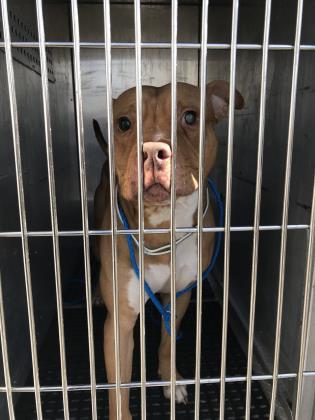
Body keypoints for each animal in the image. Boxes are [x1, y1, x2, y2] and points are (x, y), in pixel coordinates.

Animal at [93, 80, 244, 418]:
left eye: (190, 117)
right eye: (124, 123)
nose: (152, 150)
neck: (161, 230)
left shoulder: (179, 297)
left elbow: (166, 344)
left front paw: (170, 380)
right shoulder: (120, 321)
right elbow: (118, 387)